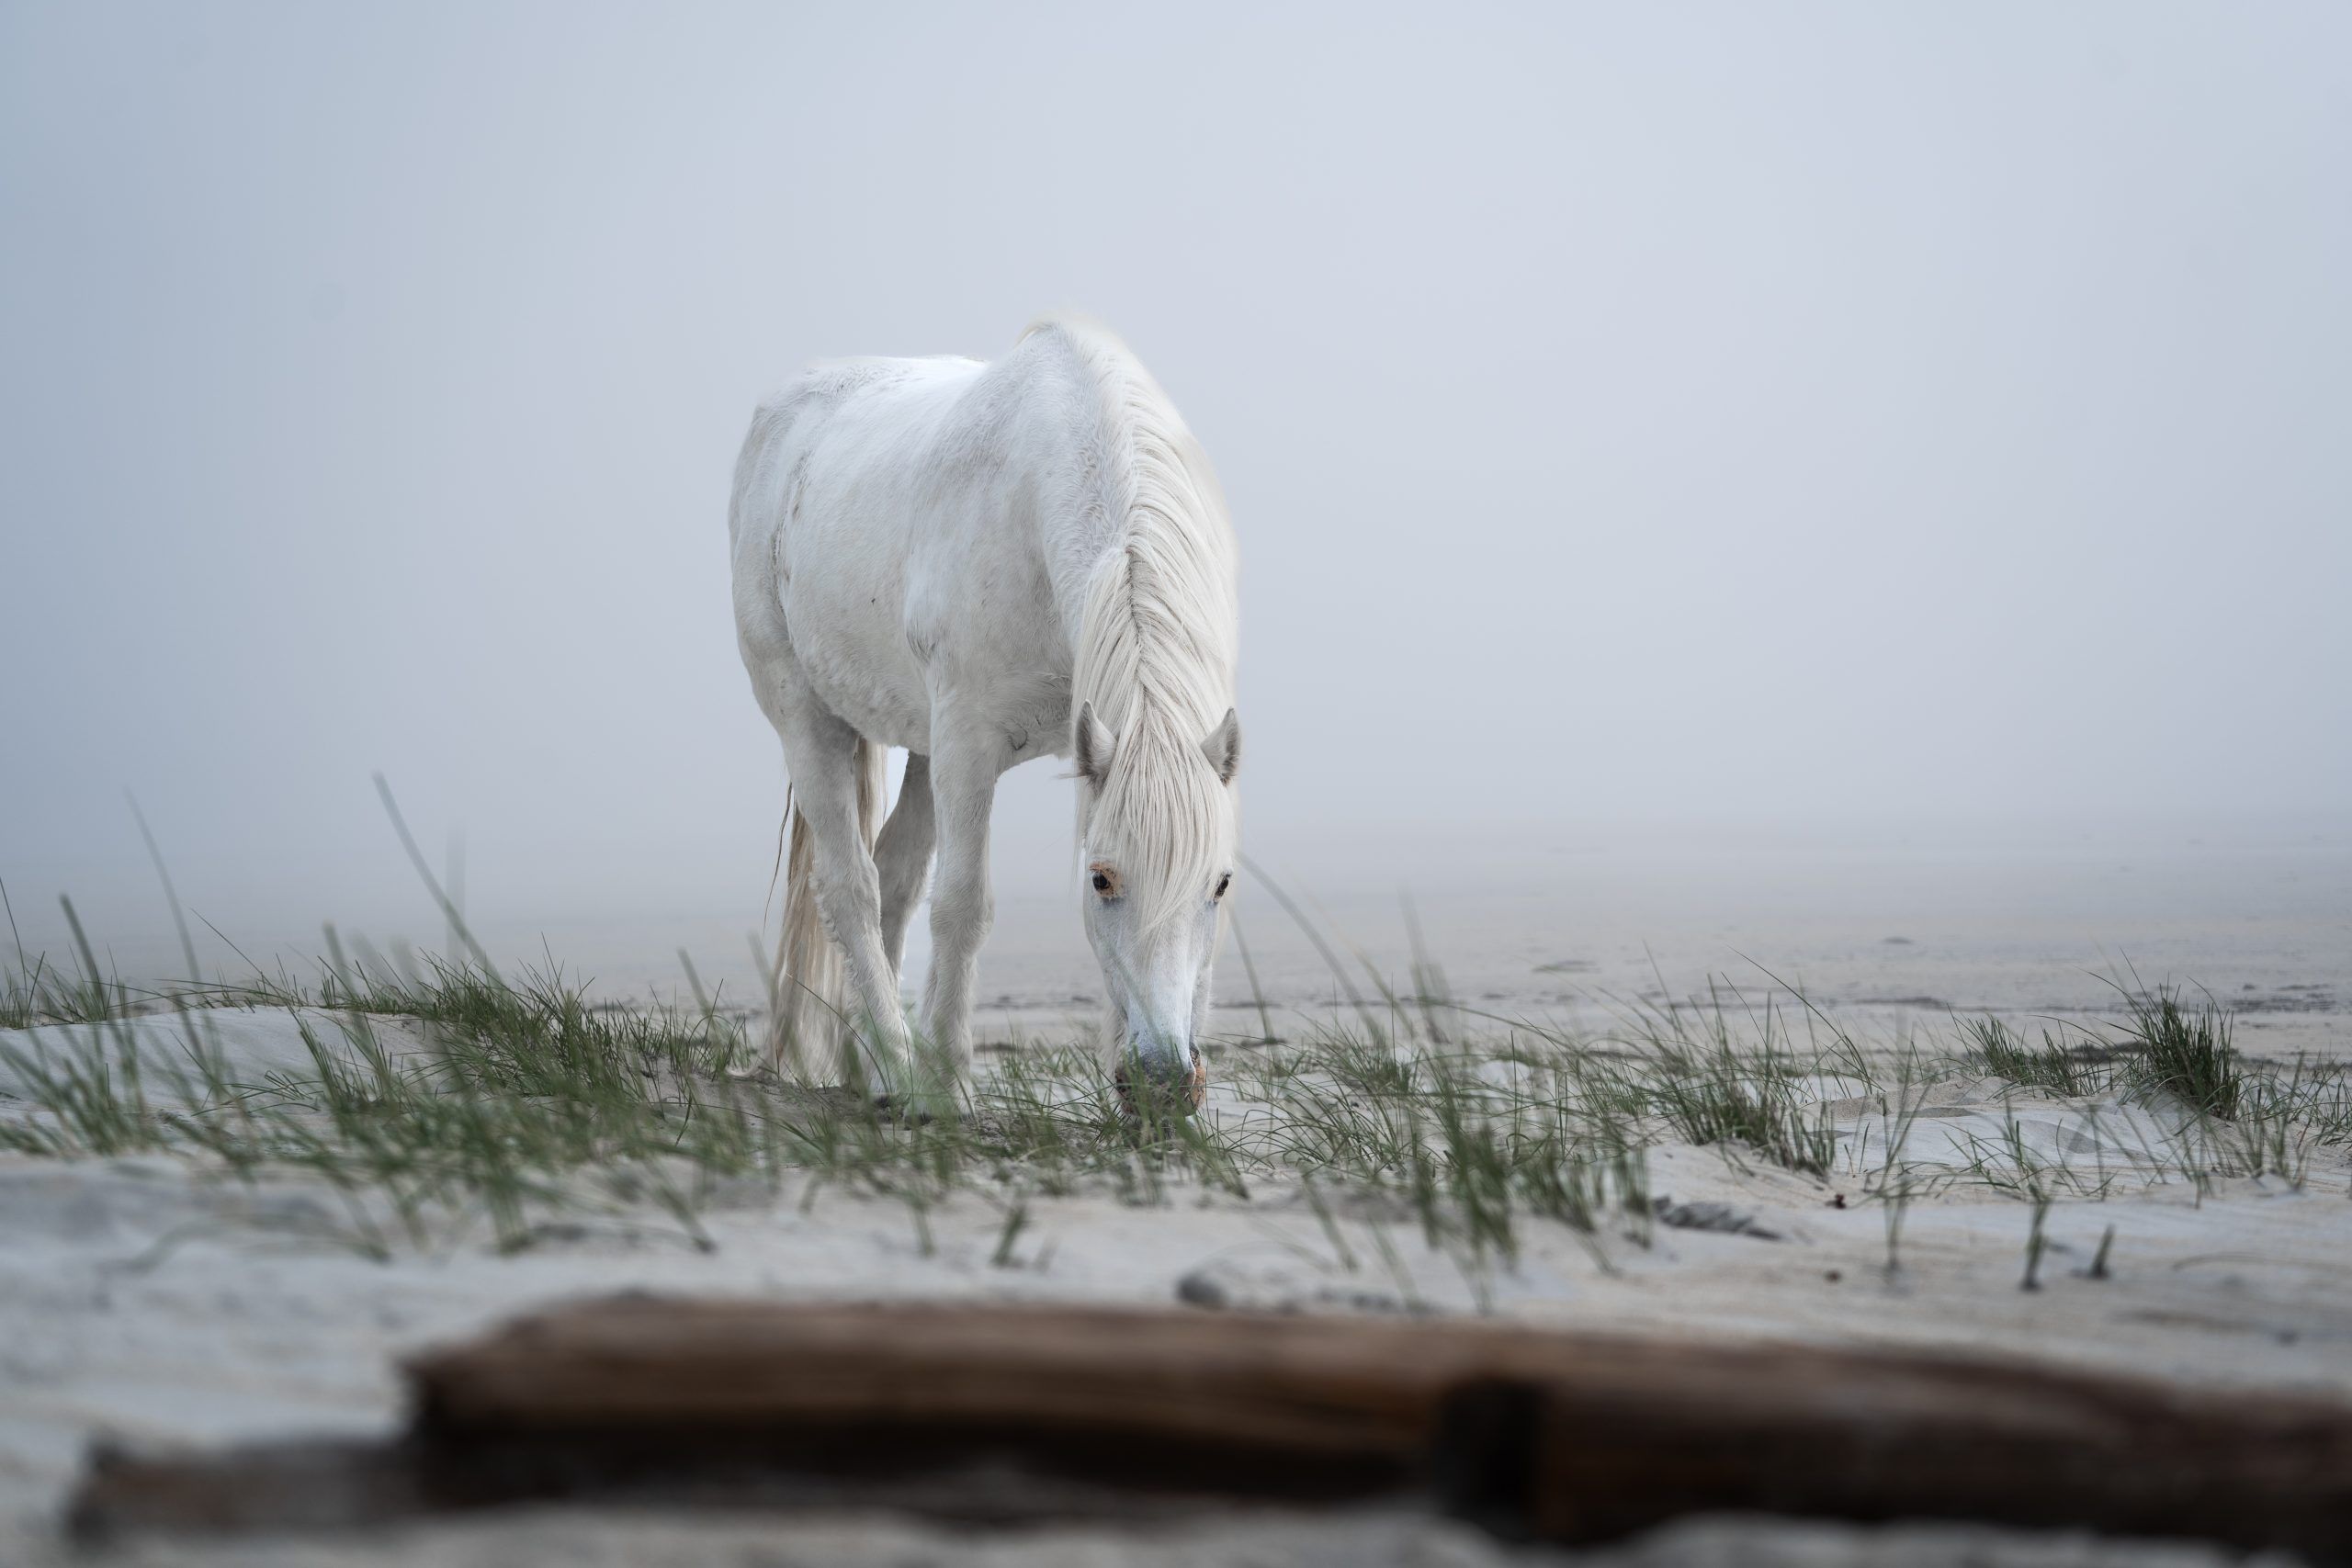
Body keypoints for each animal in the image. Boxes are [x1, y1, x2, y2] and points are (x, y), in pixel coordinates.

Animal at [728, 315, 1241, 1109]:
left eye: (1219, 883)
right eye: (1101, 879)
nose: (1162, 1082)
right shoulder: (970, 744)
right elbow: (964, 905)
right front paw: (947, 1083)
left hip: (924, 744)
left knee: (894, 879)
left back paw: (865, 1067)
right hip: (809, 718)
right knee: (851, 888)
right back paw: (898, 1065)